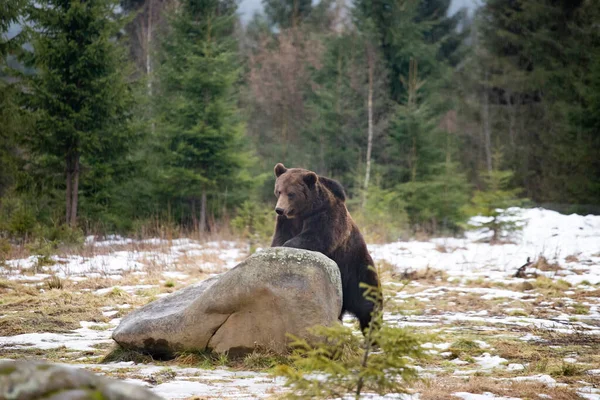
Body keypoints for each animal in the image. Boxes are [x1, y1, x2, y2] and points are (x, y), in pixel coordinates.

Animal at [272, 162, 380, 332]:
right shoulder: (286, 223)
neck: (303, 211)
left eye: (291, 193)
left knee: (368, 306)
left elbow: (316, 237)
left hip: (358, 271)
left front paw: (288, 246)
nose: (279, 209)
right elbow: (279, 238)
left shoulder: (326, 215)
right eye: (279, 191)